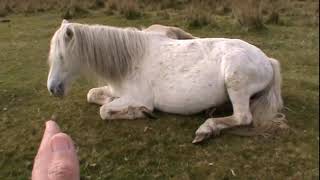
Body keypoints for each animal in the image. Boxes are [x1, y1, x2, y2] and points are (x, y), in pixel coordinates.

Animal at [47, 19, 288, 143]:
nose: (52, 88)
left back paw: (206, 128)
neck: (131, 59)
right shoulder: (117, 91)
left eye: (62, 56)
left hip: (235, 80)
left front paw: (139, 112)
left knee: (242, 117)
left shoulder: (136, 97)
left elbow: (104, 111)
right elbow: (93, 96)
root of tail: (268, 60)